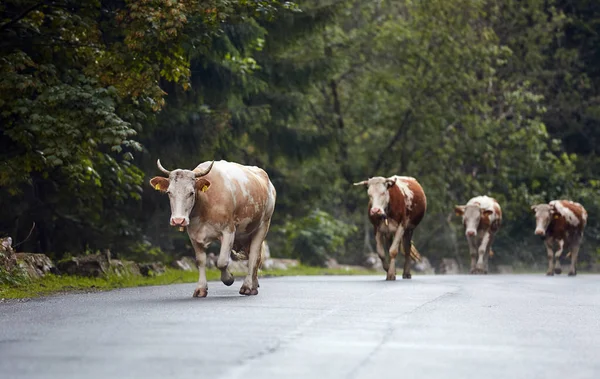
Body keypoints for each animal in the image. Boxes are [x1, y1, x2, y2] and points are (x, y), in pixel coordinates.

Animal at [152, 159, 278, 298]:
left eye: (191, 193)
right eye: (169, 192)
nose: (178, 220)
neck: (205, 204)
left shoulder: (229, 231)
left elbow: (222, 261)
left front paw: (228, 279)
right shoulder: (194, 235)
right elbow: (200, 261)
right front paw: (201, 289)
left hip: (263, 225)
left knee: (254, 257)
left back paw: (247, 286)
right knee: (256, 258)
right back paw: (254, 286)